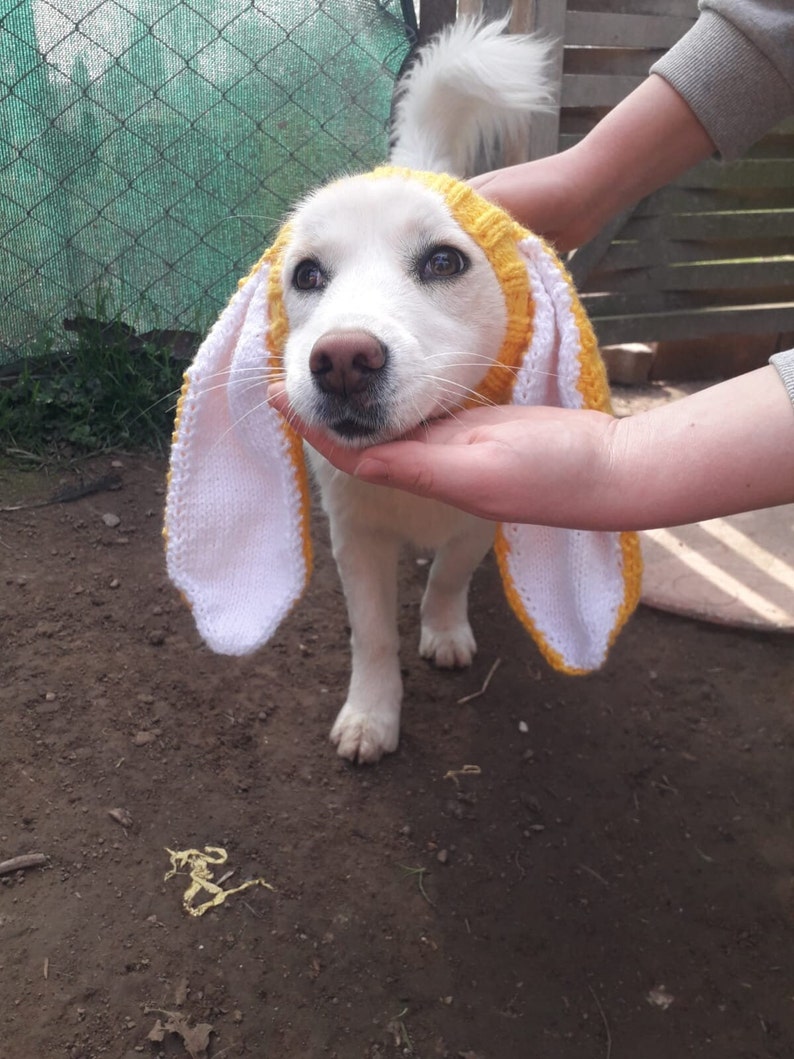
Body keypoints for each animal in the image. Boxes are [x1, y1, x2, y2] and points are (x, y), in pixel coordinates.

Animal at [165, 16, 643, 762]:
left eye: (444, 262)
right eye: (306, 274)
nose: (342, 360)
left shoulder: (478, 520)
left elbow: (448, 577)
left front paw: (443, 631)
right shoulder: (355, 537)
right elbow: (373, 634)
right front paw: (372, 714)